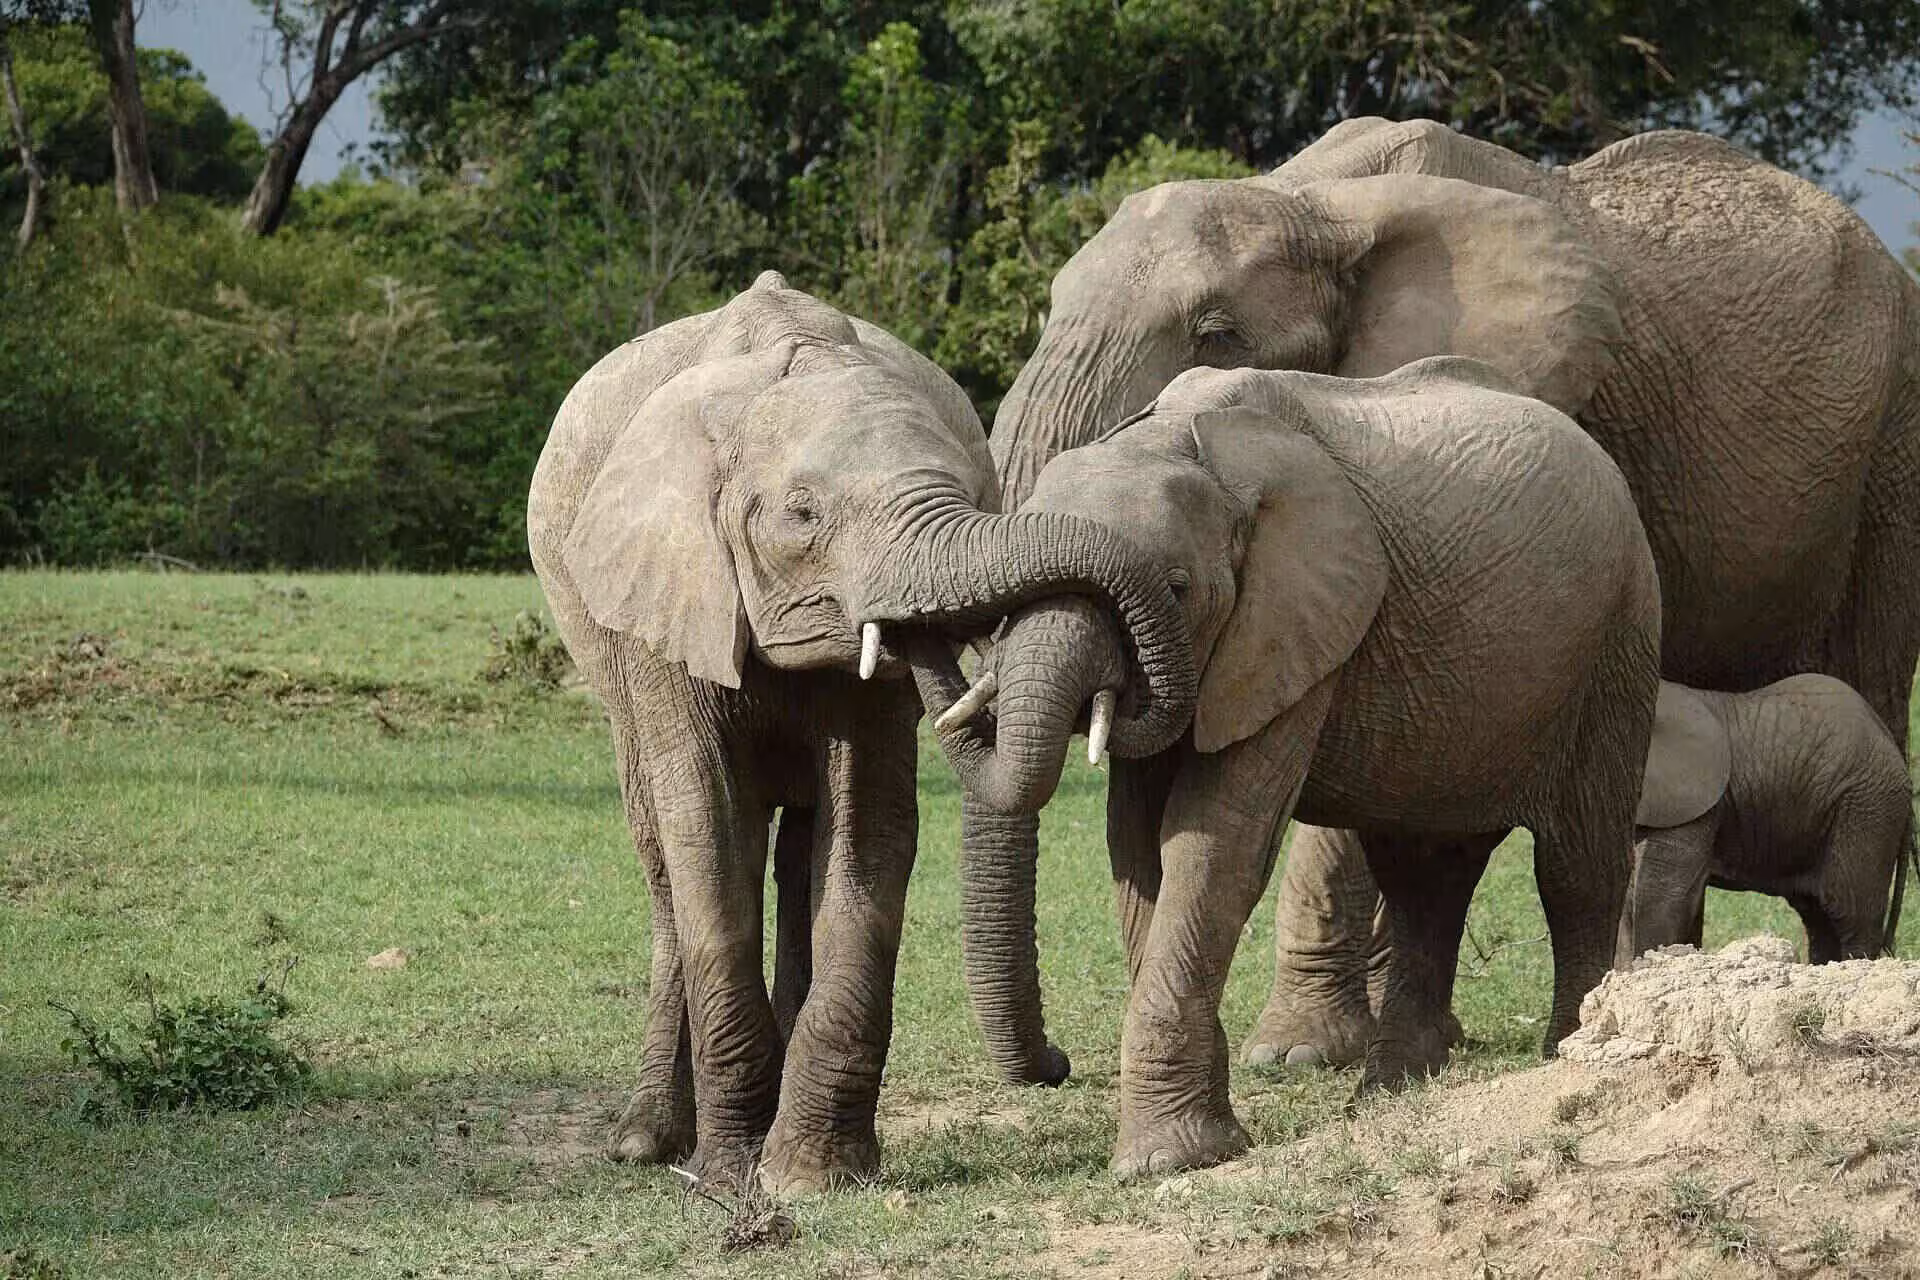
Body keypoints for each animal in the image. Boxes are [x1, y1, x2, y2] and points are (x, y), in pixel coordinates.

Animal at [526, 272, 1195, 1193]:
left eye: (974, 496)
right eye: (802, 515)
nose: (1060, 1065)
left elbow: (870, 825)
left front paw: (811, 1176)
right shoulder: (664, 599)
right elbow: (704, 822)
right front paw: (730, 1177)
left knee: (800, 848)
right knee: (663, 852)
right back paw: (646, 1141)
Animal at [913, 357, 1665, 1178]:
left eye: (1177, 588)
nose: (1056, 1067)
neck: (1179, 443)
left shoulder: (1293, 627)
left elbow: (1212, 844)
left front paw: (1166, 1161)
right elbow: (1138, 849)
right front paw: (1199, 1143)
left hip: (1619, 637)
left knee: (1574, 863)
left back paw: (1568, 1053)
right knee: (1424, 871)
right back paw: (1390, 1091)